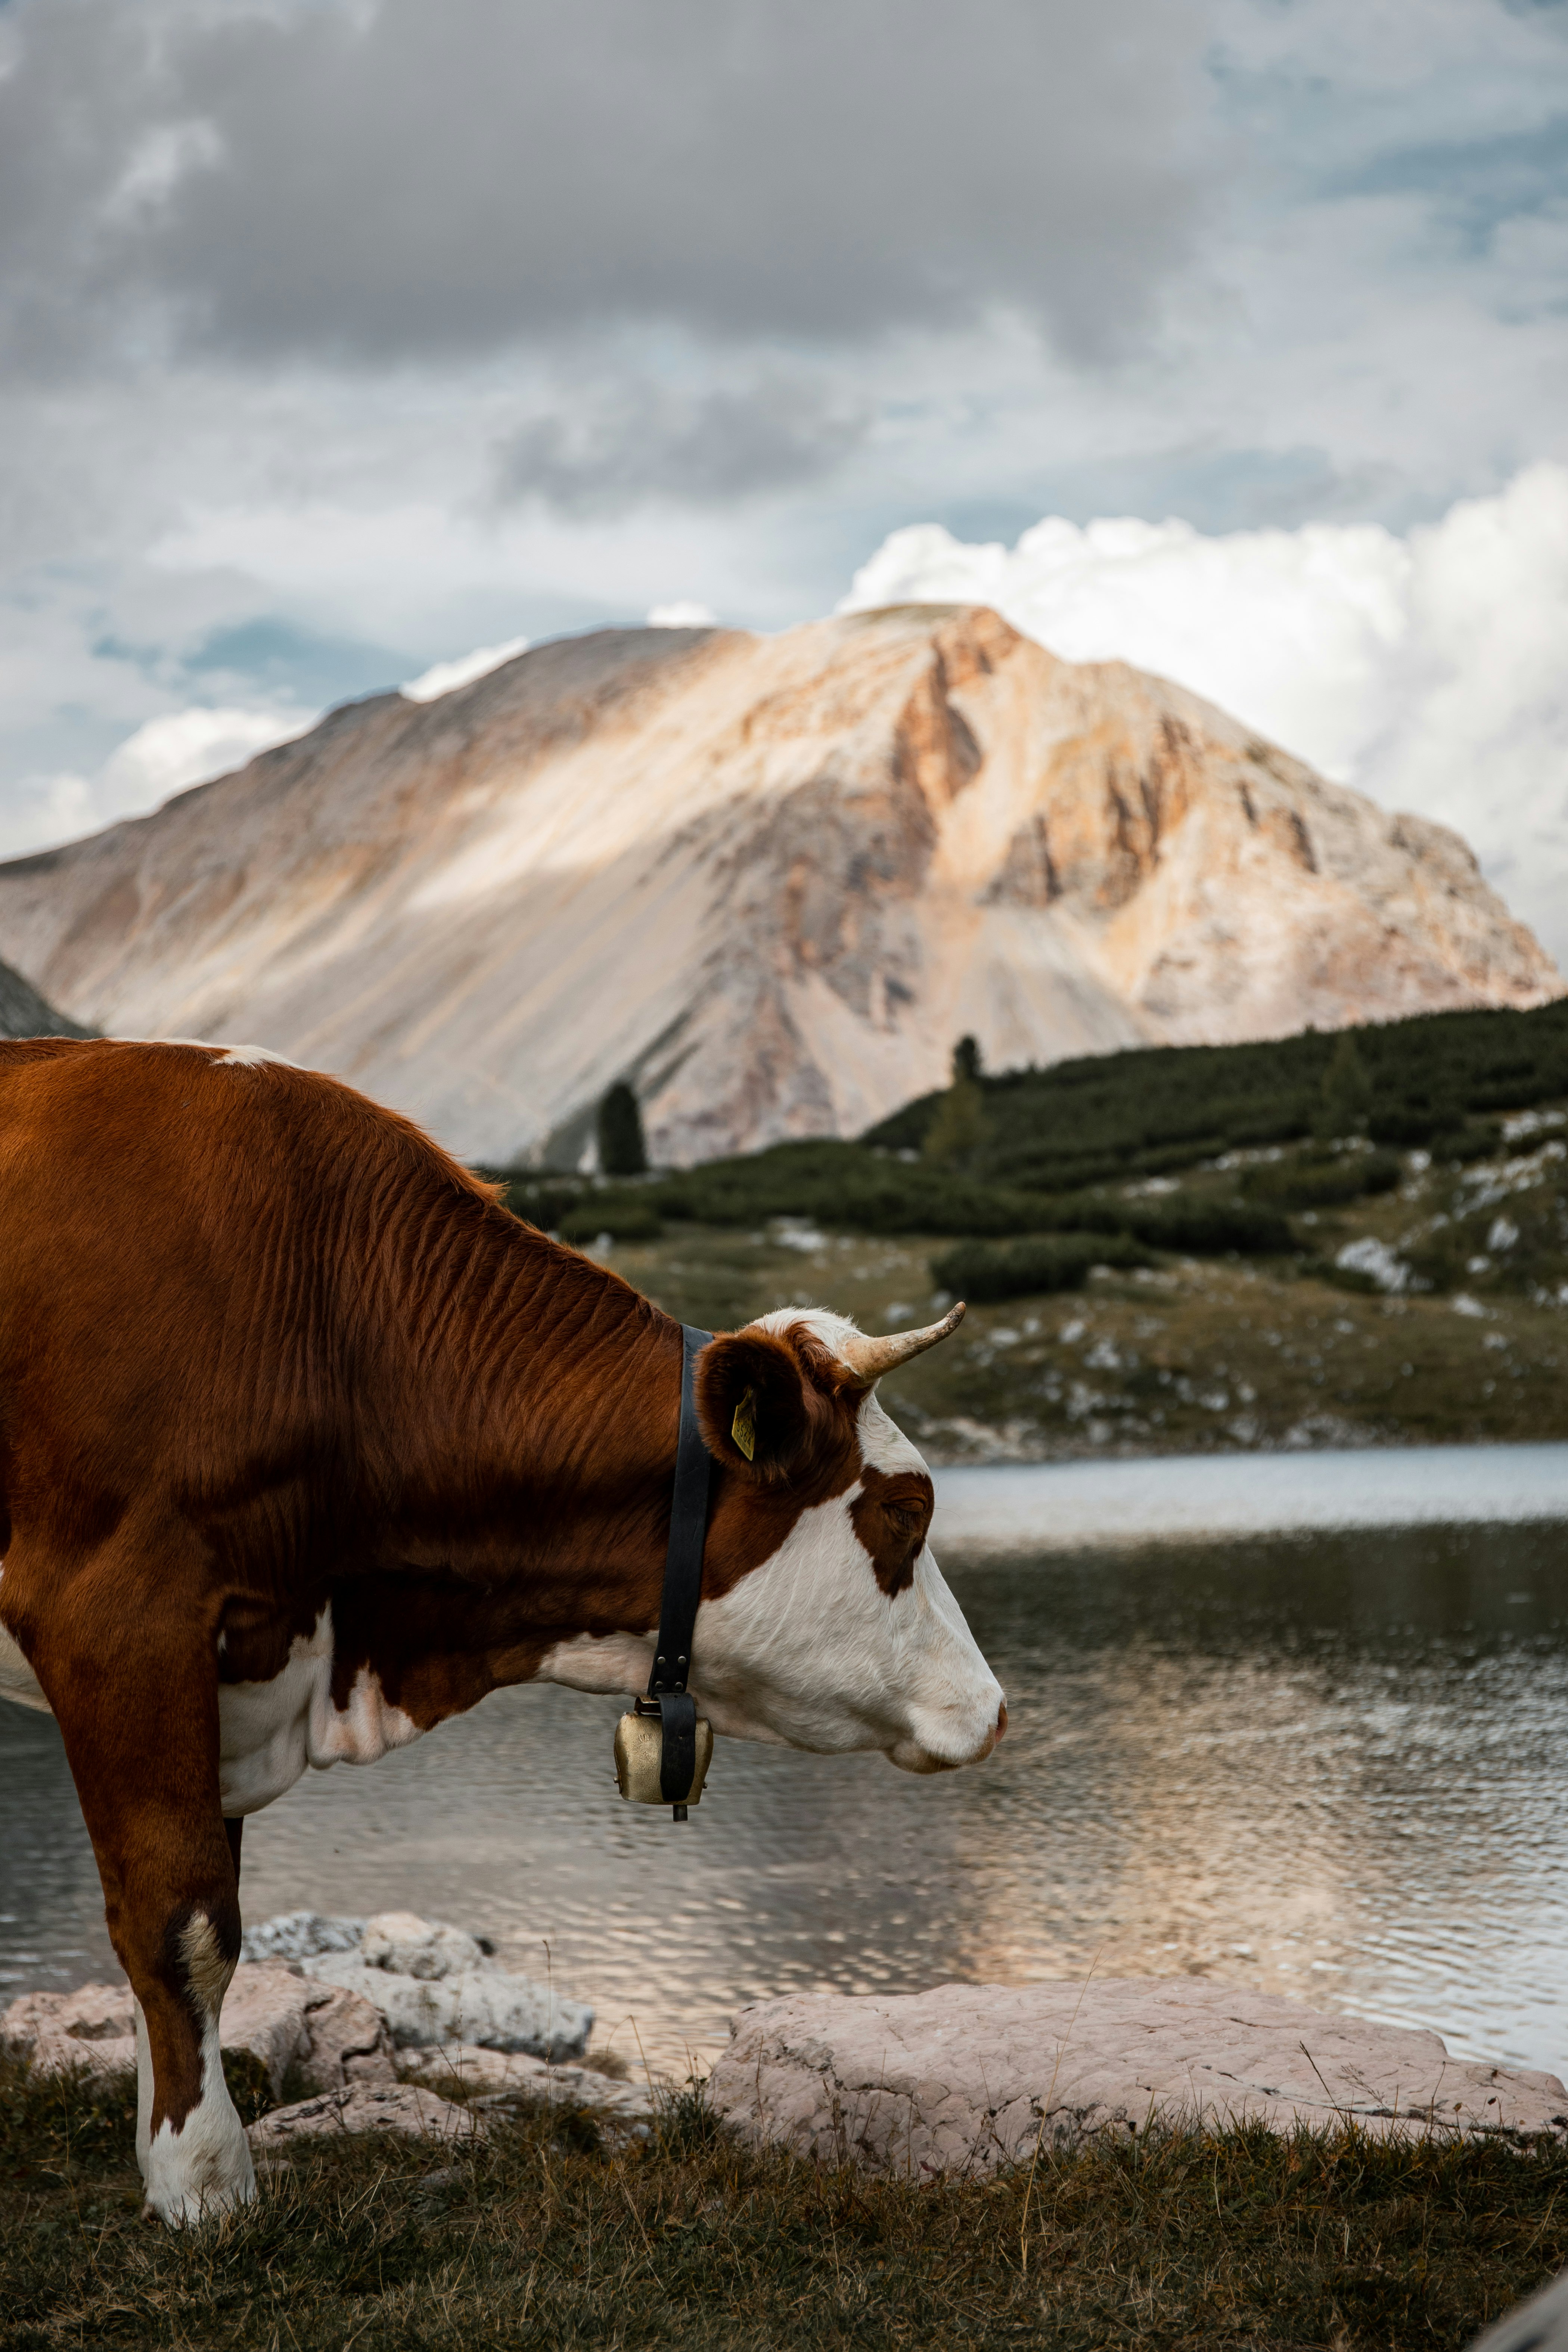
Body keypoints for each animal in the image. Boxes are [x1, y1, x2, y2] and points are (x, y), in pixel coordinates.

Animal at [0, 1044, 1006, 2220]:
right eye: (905, 1510)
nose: (993, 1707)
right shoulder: (119, 1612)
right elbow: (182, 1920)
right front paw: (204, 2185)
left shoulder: (230, 1663)